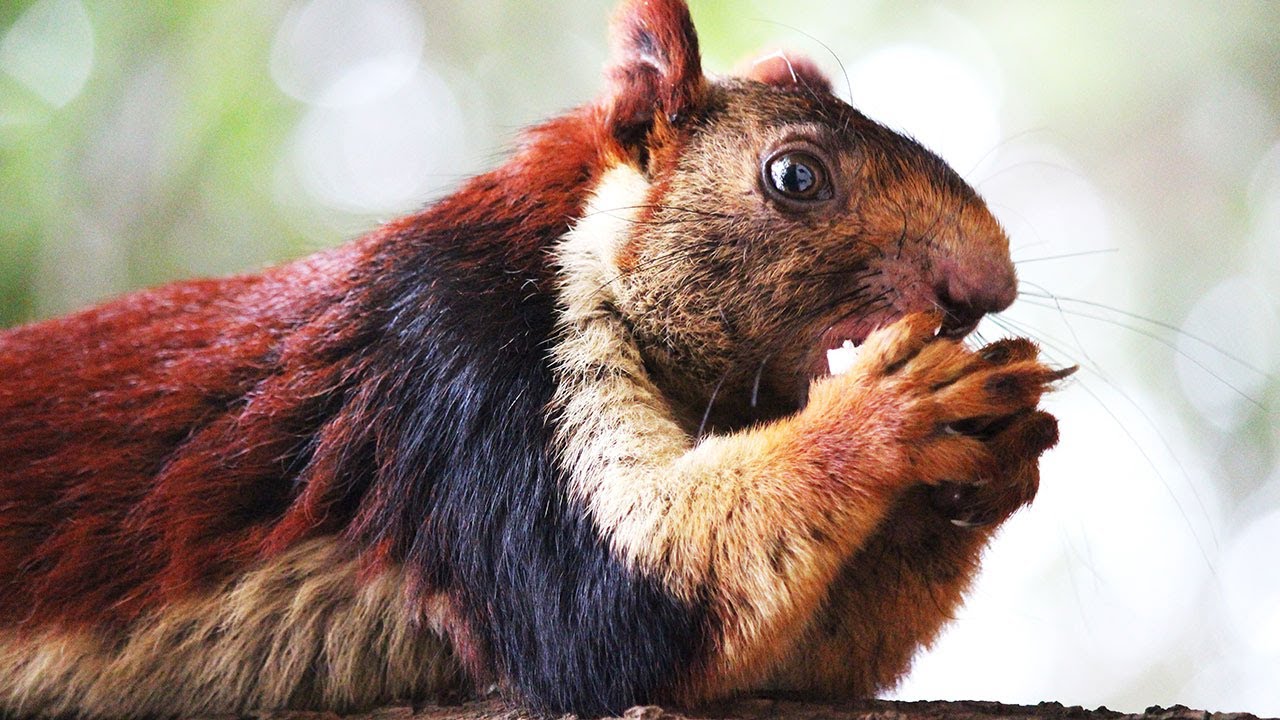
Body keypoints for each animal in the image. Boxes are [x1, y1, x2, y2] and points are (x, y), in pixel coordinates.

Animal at [0, 0, 1072, 717]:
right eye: (795, 176)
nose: (987, 284)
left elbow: (793, 660)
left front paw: (1003, 443)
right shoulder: (462, 369)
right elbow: (612, 611)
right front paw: (889, 407)